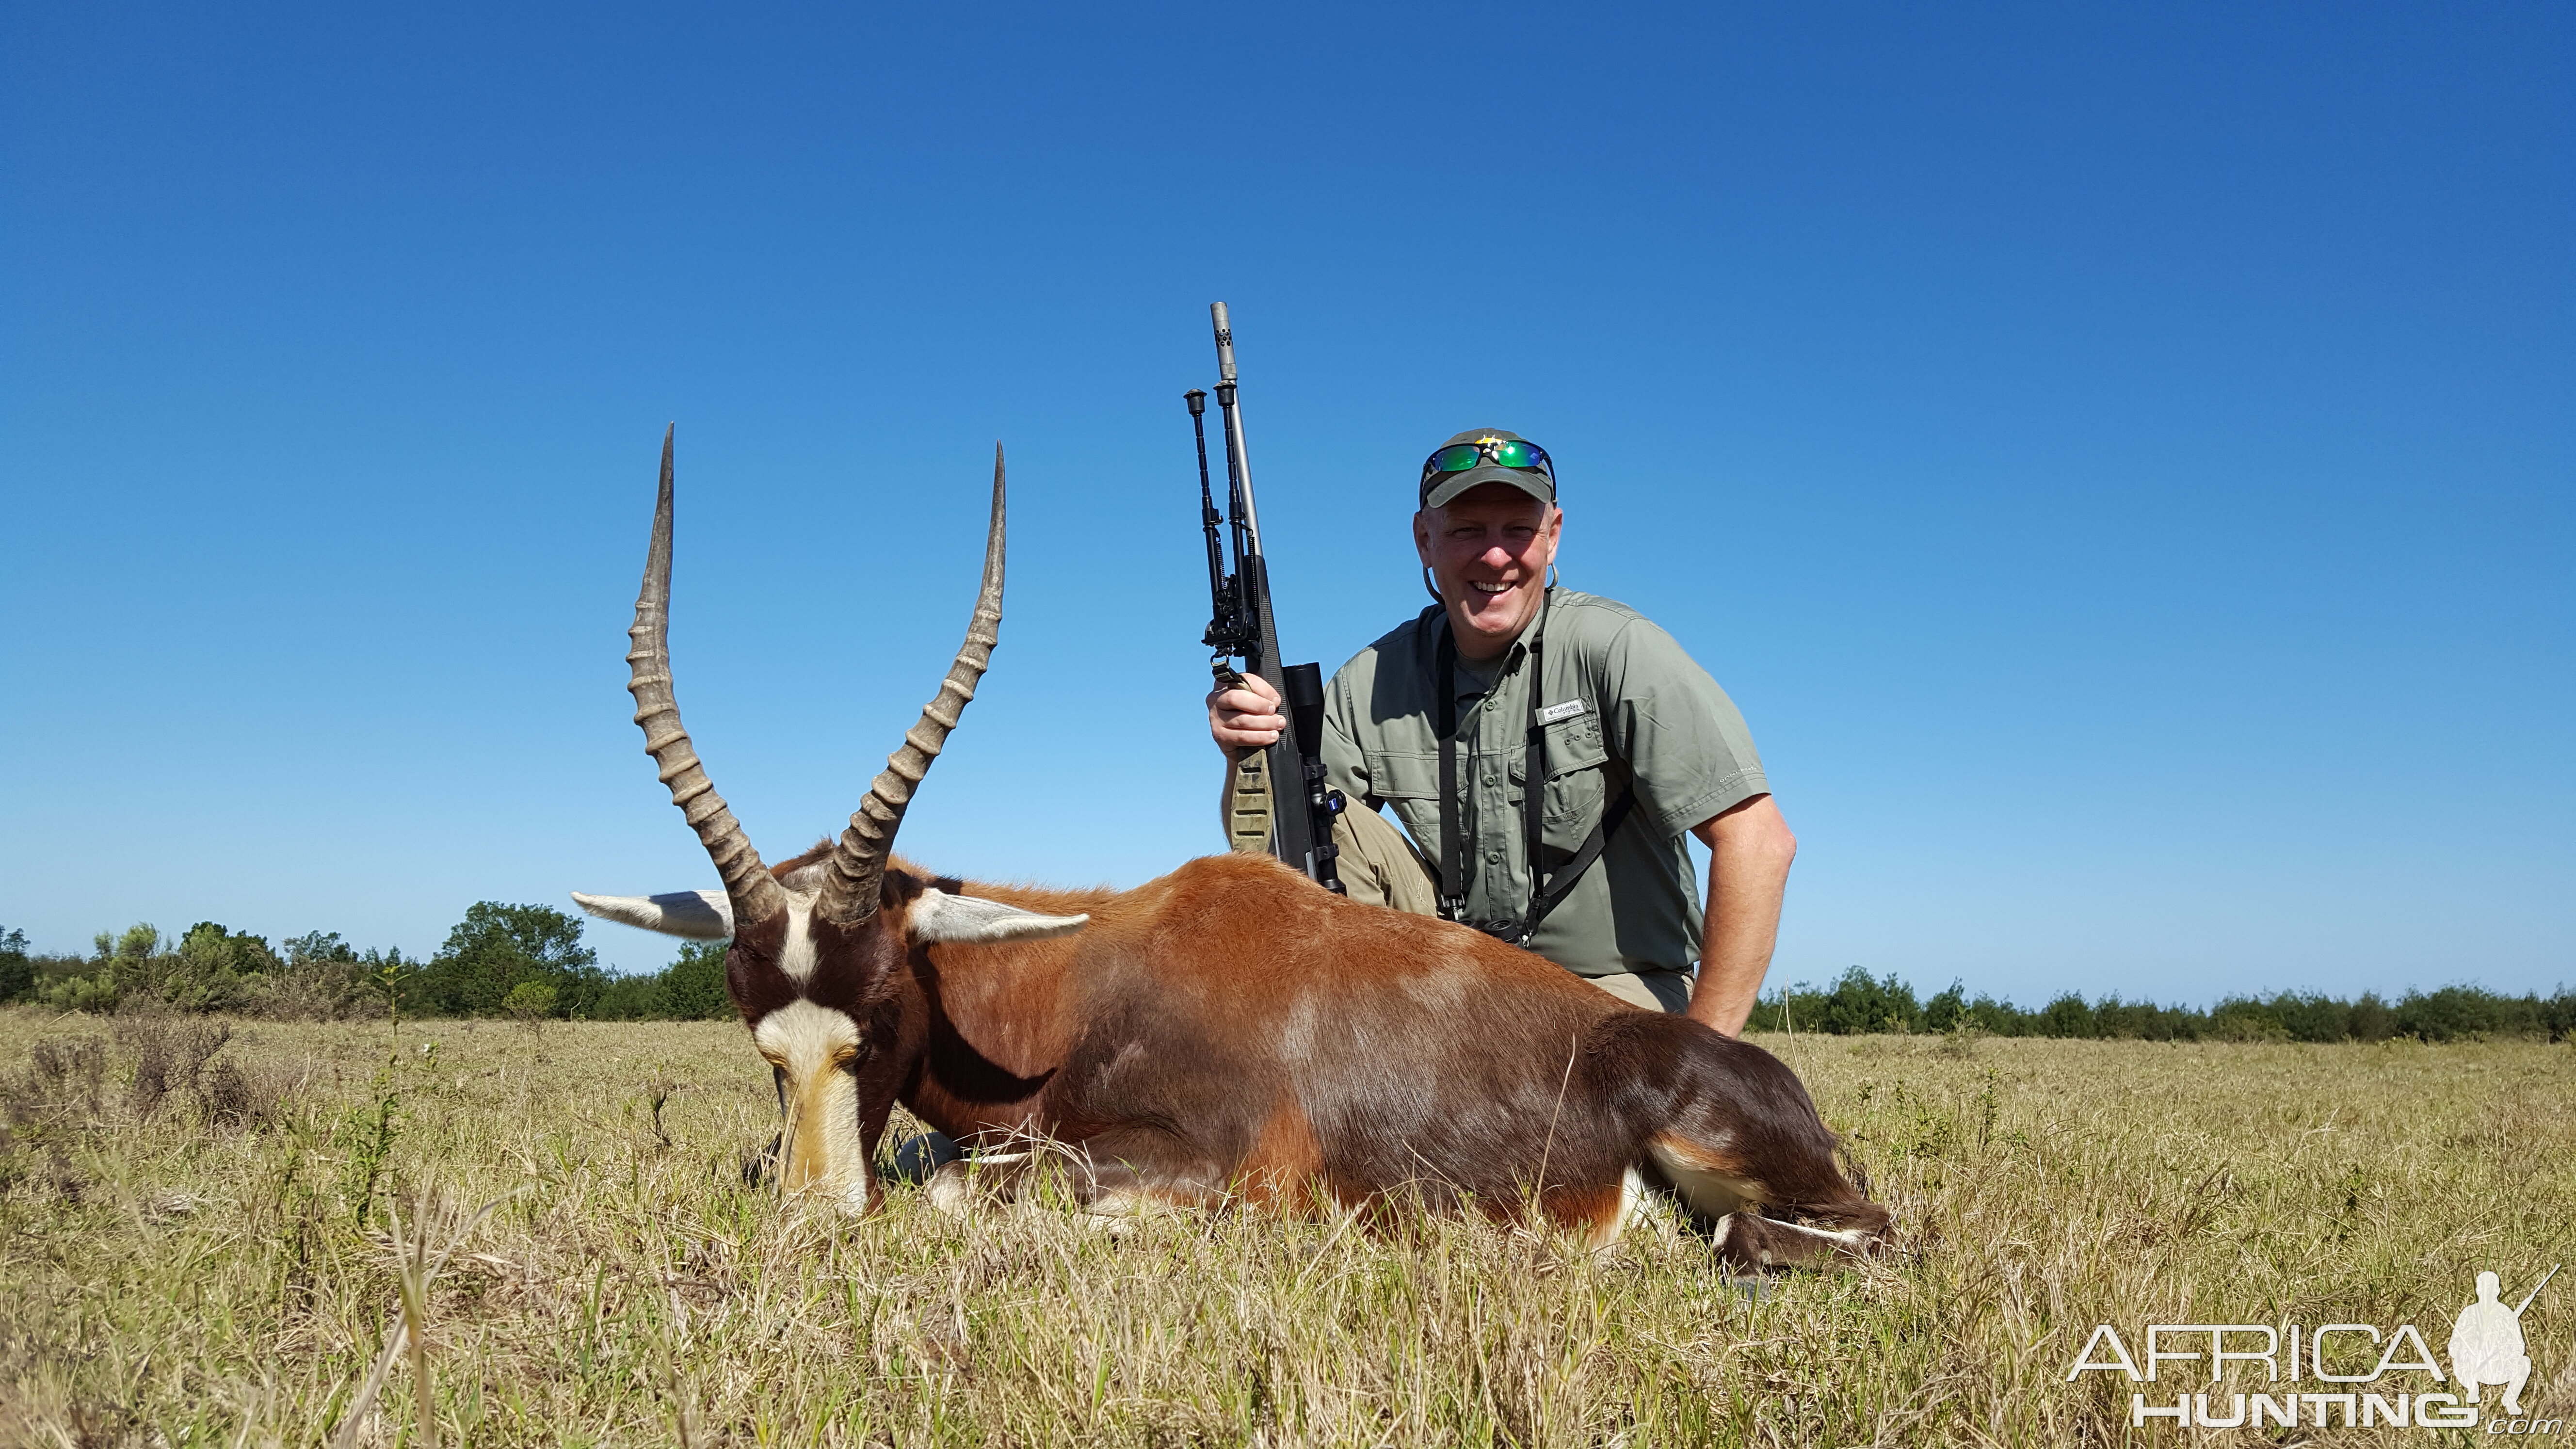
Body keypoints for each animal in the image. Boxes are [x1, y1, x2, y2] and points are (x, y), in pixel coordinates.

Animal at [584, 425, 1896, 1263]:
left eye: (874, 1019)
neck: (1088, 976)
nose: (812, 1223)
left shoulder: (1190, 1165)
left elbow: (960, 1186)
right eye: (765, 1042)